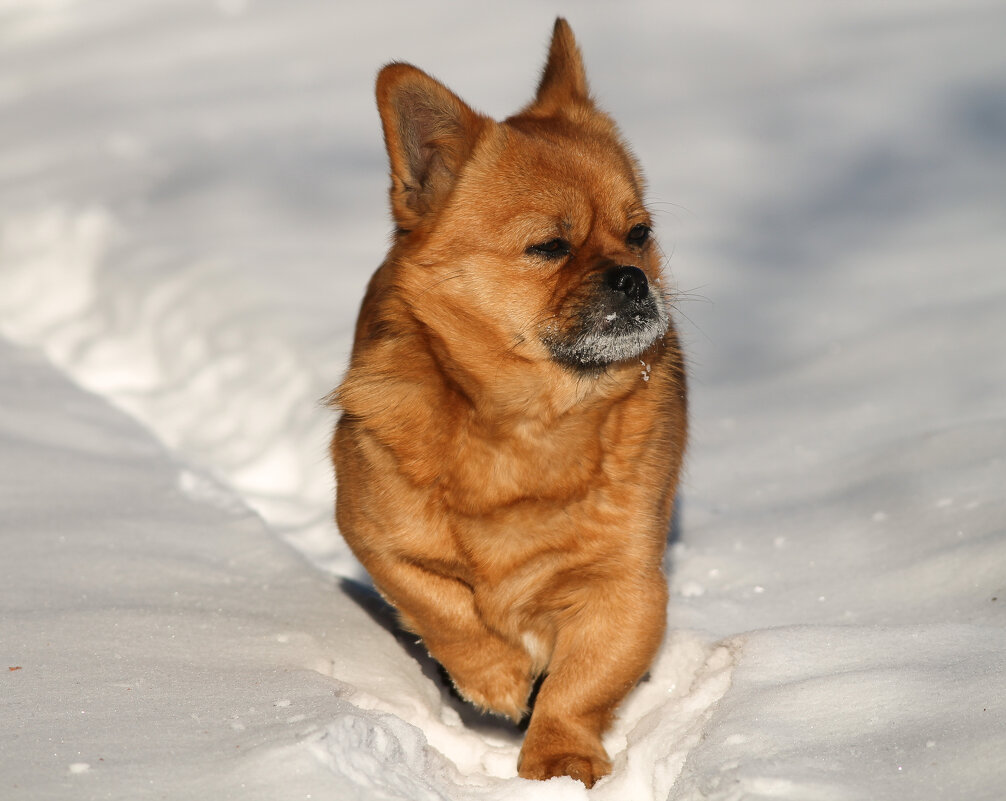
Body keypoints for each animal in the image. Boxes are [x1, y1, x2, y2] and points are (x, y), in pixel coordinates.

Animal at [333, 18, 688, 788]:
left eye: (640, 233)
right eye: (549, 246)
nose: (633, 277)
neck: (528, 423)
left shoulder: (628, 587)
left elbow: (584, 683)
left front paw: (559, 757)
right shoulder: (374, 538)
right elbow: (441, 604)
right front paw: (494, 675)